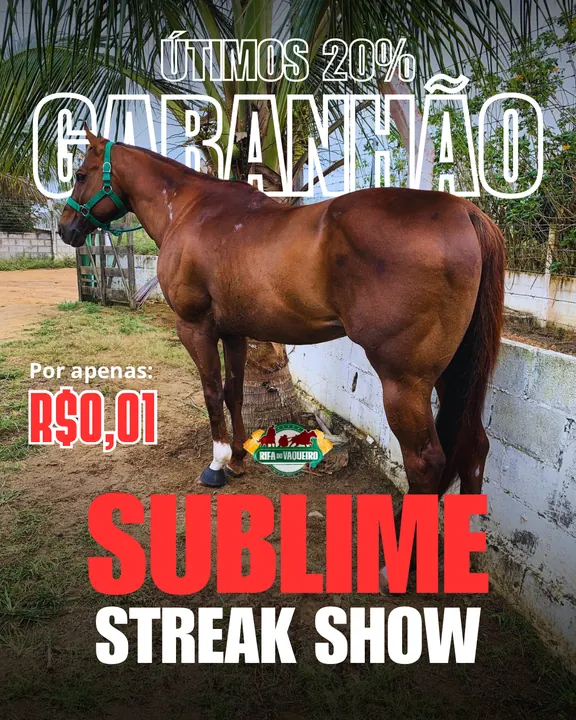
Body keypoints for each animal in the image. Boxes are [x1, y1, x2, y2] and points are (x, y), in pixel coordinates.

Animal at [58, 128, 504, 503]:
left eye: (80, 174)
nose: (65, 228)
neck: (189, 210)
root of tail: (464, 212)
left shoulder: (195, 328)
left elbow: (211, 392)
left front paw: (217, 464)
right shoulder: (233, 331)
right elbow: (234, 392)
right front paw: (239, 459)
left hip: (404, 381)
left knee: (426, 462)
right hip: (450, 370)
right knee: (473, 447)